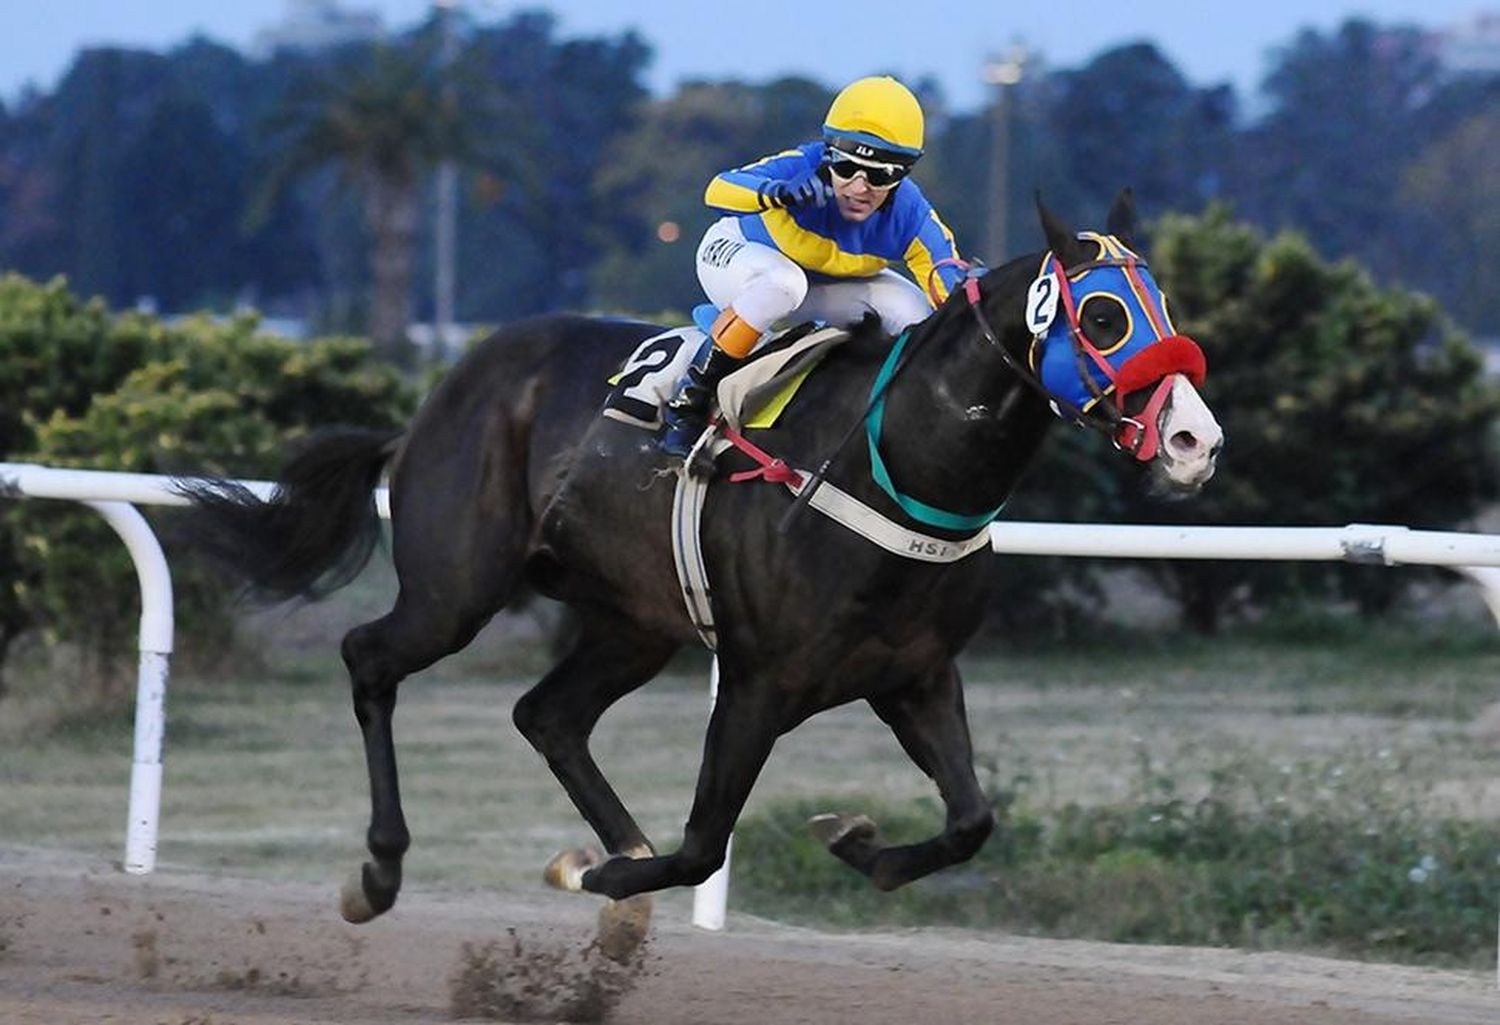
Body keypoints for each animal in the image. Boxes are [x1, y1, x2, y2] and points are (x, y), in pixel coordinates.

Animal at [184, 190, 1218, 948]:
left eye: (1166, 303)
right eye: (1102, 313)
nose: (1193, 440)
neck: (893, 463)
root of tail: (435, 398)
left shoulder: (915, 673)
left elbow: (971, 820)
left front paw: (858, 842)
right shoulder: (761, 680)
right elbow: (699, 846)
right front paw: (593, 870)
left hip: (632, 621)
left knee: (547, 713)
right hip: (456, 586)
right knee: (370, 656)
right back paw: (381, 869)